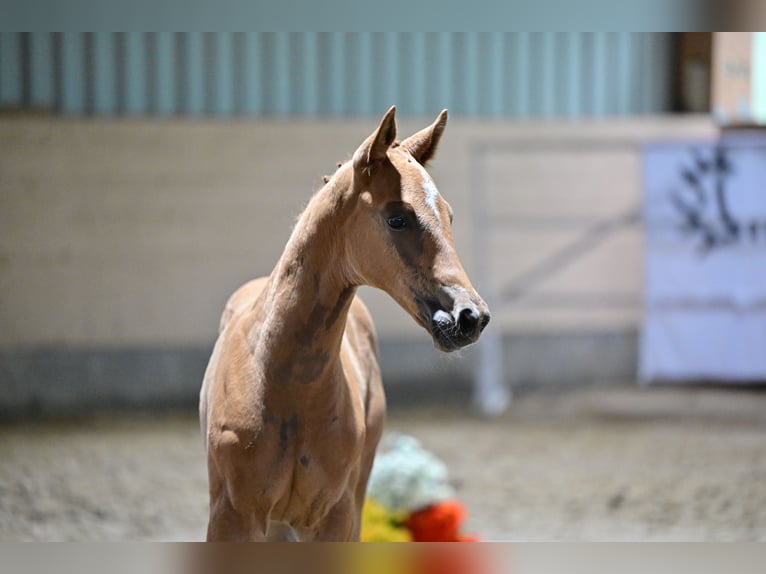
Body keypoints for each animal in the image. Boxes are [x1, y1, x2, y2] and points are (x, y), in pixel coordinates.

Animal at [200, 108, 492, 544]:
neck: (282, 381)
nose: (470, 317)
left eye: (449, 215)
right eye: (398, 218)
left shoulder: (334, 516)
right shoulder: (231, 516)